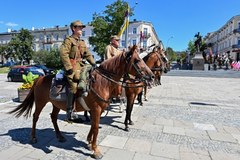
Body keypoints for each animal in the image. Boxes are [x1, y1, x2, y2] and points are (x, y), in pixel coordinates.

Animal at [8, 45, 154, 159]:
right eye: (137, 60)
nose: (151, 76)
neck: (101, 82)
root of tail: (39, 78)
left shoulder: (97, 110)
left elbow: (93, 126)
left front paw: (89, 143)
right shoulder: (96, 109)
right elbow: (95, 127)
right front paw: (95, 150)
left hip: (56, 104)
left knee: (53, 117)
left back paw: (60, 136)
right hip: (40, 102)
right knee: (35, 117)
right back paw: (33, 138)